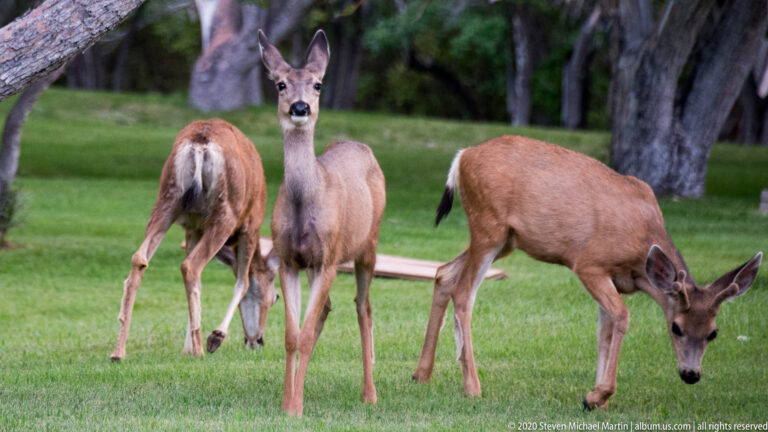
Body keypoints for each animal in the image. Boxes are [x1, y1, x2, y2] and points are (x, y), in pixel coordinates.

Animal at [110, 118, 279, 362]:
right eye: (276, 297)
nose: (258, 341)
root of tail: (200, 143)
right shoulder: (251, 224)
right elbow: (243, 281)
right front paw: (215, 337)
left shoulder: (193, 228)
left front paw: (186, 348)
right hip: (226, 212)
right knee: (191, 266)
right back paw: (200, 349)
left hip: (166, 197)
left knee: (140, 258)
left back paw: (118, 351)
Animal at [257, 29, 386, 417]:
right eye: (280, 84)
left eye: (317, 84)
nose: (301, 108)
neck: (304, 204)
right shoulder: (289, 259)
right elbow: (292, 336)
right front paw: (288, 403)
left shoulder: (328, 259)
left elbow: (303, 334)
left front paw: (296, 407)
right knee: (327, 311)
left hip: (367, 247)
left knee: (364, 307)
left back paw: (370, 393)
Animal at [412, 135, 762, 410]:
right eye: (676, 327)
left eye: (713, 332)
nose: (691, 375)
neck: (640, 248)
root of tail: (463, 156)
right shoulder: (589, 264)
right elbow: (621, 316)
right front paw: (596, 397)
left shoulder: (614, 280)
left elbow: (605, 329)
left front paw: (597, 398)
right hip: (488, 226)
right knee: (463, 293)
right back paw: (473, 388)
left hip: (505, 239)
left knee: (444, 273)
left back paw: (421, 375)